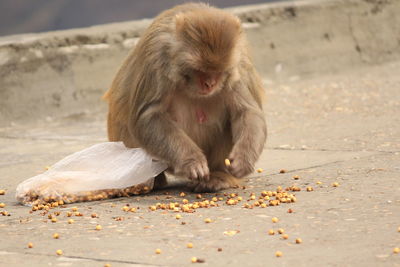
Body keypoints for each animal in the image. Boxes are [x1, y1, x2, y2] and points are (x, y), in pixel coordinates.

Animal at [103, 3, 268, 194]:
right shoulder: (157, 55)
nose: (209, 84)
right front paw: (192, 161)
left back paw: (218, 176)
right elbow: (149, 116)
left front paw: (243, 159)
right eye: (200, 70)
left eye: (218, 71)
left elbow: (247, 111)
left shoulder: (238, 63)